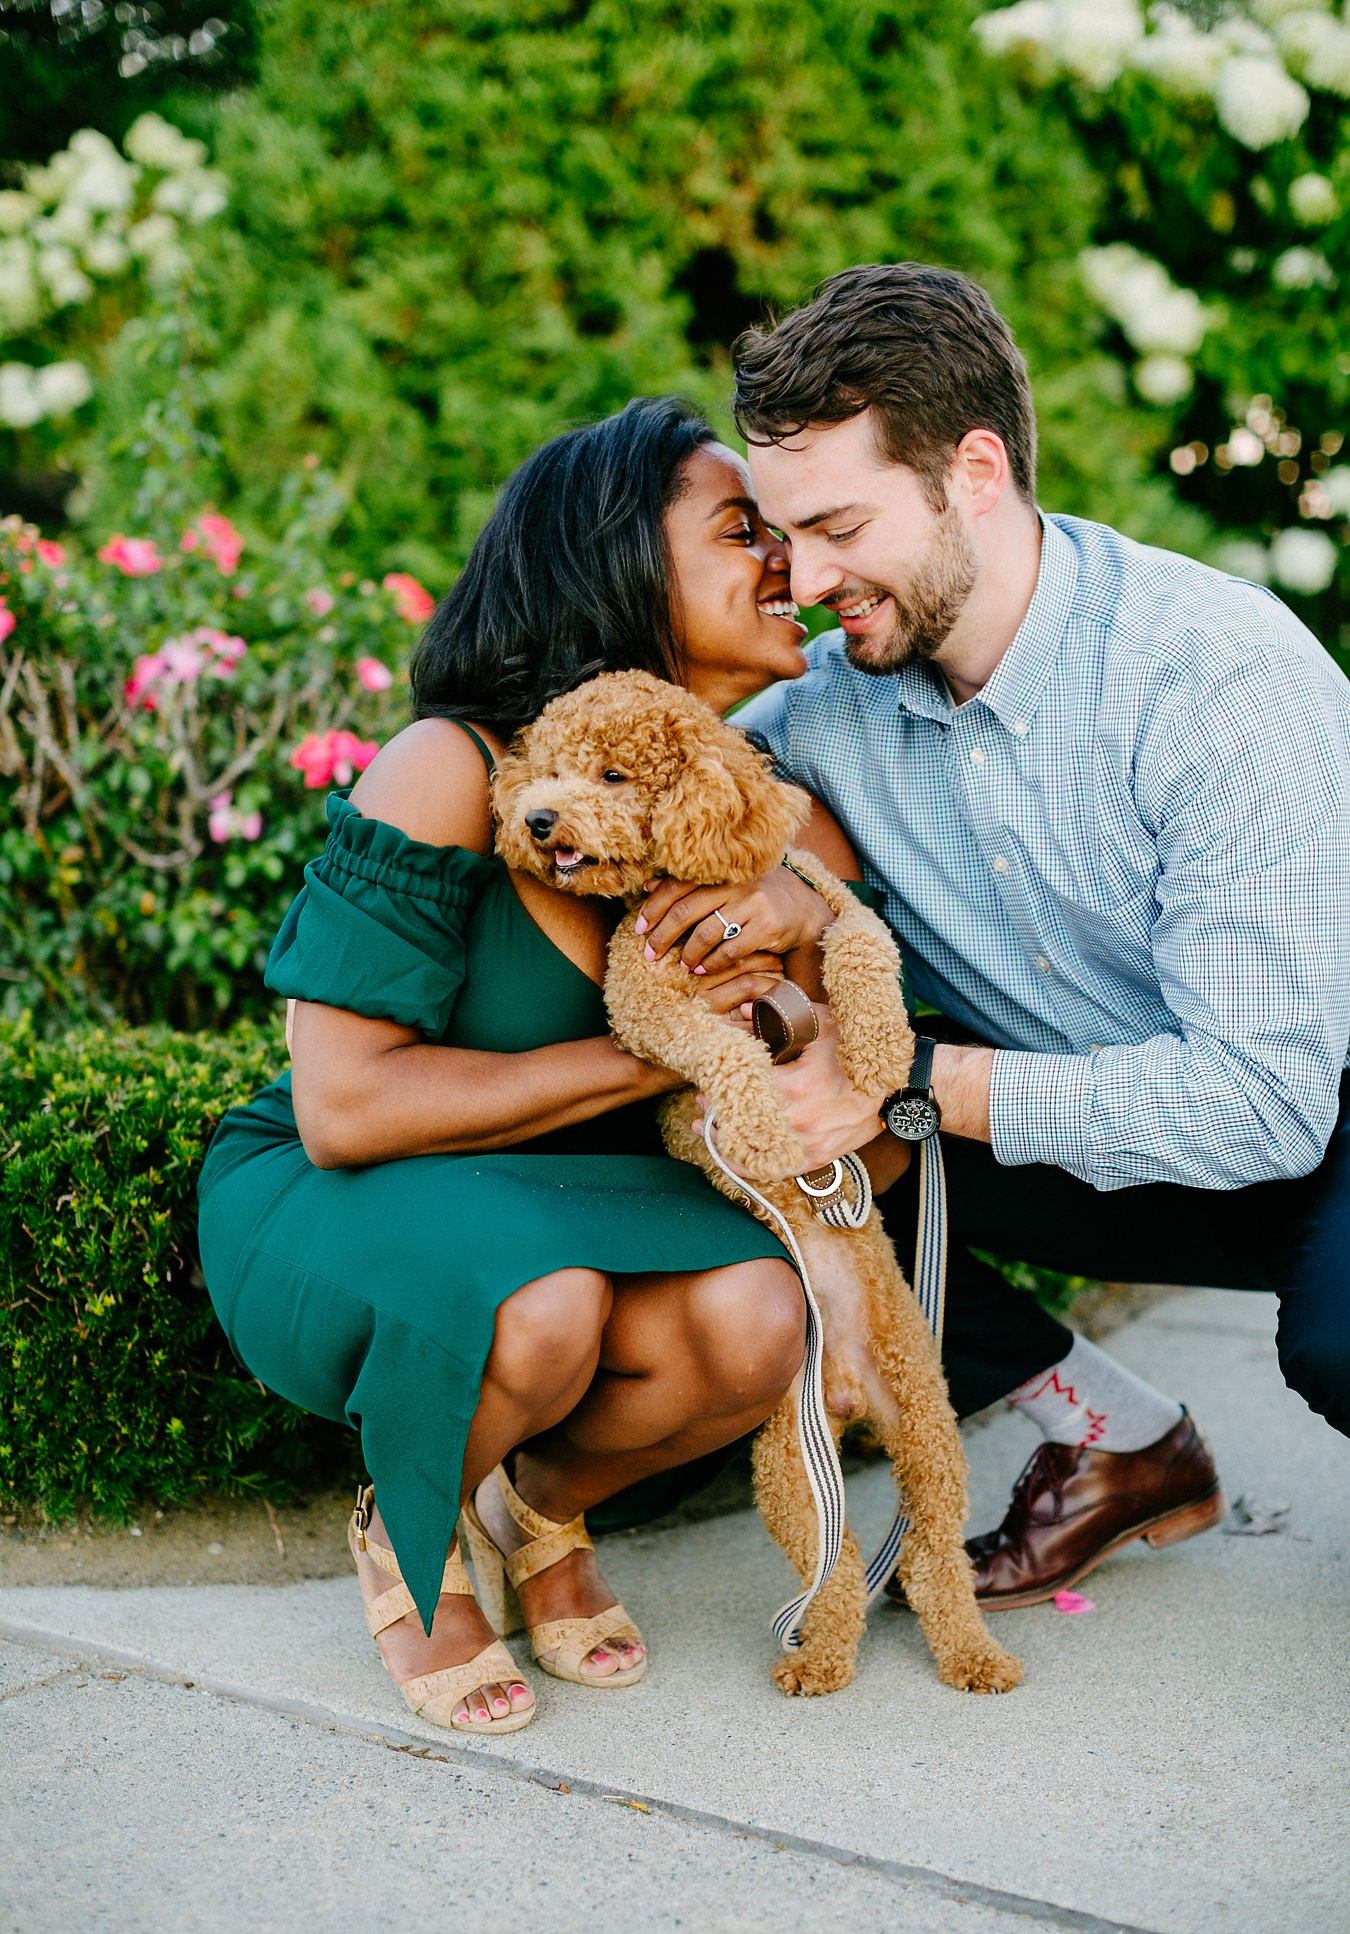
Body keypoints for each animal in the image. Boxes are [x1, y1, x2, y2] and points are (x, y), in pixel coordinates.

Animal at [495, 673, 1021, 1701]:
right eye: (549, 768)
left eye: (611, 775)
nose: (537, 818)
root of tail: (850, 1392)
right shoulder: (645, 1003)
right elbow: (725, 1051)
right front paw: (767, 1130)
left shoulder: (823, 902)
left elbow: (863, 952)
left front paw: (880, 1054)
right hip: (787, 1463)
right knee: (844, 1566)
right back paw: (820, 1660)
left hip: (929, 1428)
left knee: (934, 1554)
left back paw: (974, 1657)